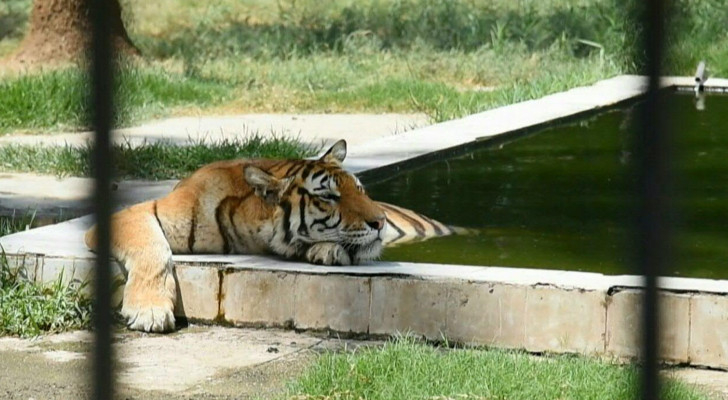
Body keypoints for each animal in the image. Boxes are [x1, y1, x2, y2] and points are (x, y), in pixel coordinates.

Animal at [84, 139, 460, 332]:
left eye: (360, 190)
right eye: (329, 196)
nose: (379, 222)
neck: (247, 234)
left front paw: (327, 251)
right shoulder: (131, 215)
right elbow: (152, 249)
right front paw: (149, 311)